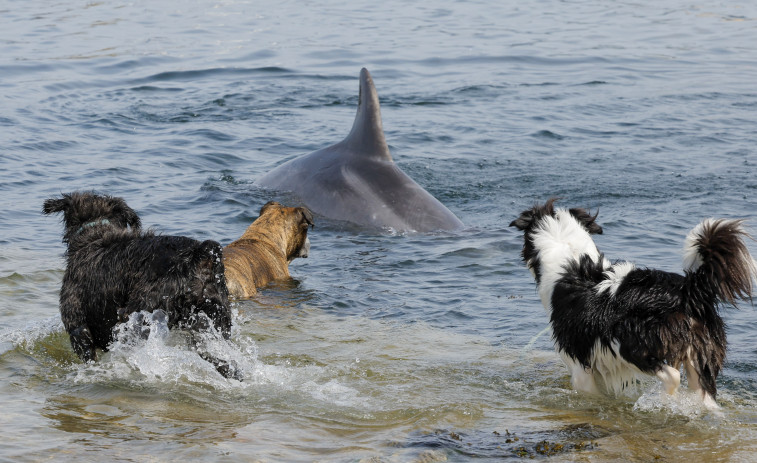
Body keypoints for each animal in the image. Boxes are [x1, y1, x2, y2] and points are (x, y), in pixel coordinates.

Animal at [510, 198, 752, 408]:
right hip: (701, 353)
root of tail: (688, 289)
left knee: (672, 375)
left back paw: (663, 400)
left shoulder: (578, 365)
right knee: (705, 394)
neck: (569, 253)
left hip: (629, 341)